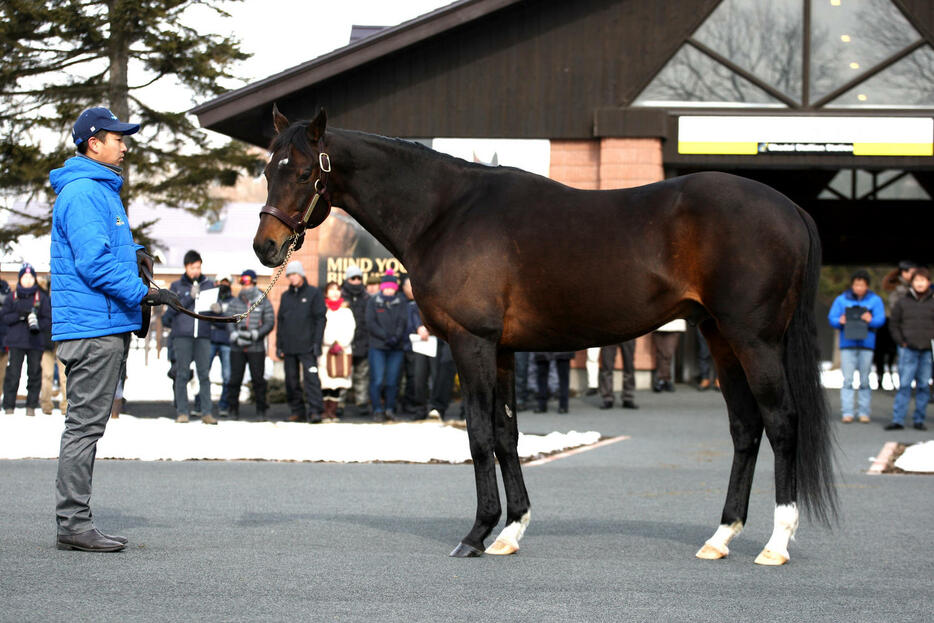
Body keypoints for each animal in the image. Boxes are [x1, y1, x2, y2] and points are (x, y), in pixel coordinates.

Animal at [252, 107, 836, 564]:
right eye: (265, 169)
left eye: (302, 171)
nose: (265, 247)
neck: (445, 212)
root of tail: (789, 207)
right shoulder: (503, 349)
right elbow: (507, 435)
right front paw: (511, 531)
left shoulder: (471, 342)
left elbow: (478, 435)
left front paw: (476, 533)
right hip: (720, 338)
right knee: (745, 428)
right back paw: (720, 537)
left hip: (754, 340)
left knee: (782, 422)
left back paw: (776, 544)